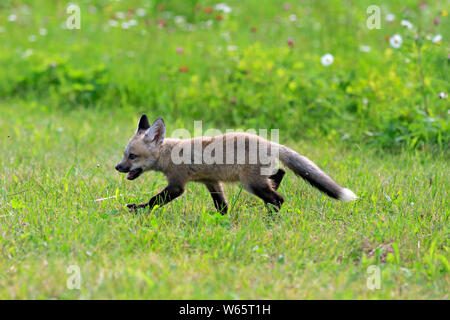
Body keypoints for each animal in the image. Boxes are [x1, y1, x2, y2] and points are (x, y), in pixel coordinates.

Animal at [116, 114, 358, 214]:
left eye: (132, 156)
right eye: (124, 154)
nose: (118, 167)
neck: (170, 154)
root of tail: (270, 142)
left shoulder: (177, 184)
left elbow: (154, 200)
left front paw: (137, 209)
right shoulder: (211, 181)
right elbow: (222, 206)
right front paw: (221, 220)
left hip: (250, 184)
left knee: (278, 199)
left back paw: (271, 218)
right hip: (257, 180)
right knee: (279, 175)